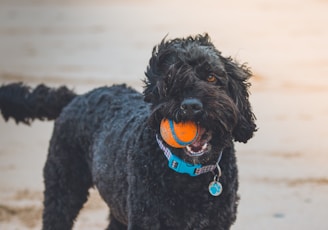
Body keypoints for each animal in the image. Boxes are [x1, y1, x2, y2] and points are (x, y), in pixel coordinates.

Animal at [0, 33, 256, 229]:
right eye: (170, 80)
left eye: (211, 77)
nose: (191, 106)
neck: (188, 175)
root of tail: (77, 97)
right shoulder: (146, 220)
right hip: (63, 188)